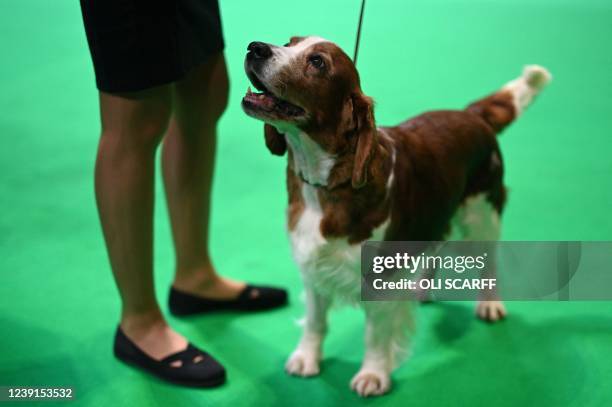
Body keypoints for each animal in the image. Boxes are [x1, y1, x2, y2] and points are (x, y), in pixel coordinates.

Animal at [240, 36, 548, 396]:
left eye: (317, 62)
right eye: (289, 42)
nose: (255, 47)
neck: (326, 182)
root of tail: (472, 115)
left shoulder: (380, 277)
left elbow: (375, 333)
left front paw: (373, 375)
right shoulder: (313, 263)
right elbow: (316, 320)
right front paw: (306, 359)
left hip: (482, 213)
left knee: (489, 260)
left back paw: (489, 305)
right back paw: (421, 290)